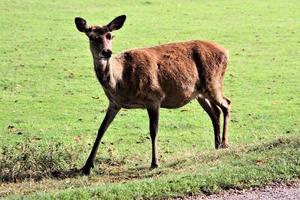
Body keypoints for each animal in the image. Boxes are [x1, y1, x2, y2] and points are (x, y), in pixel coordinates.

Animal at [74, 15, 231, 175]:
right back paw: (217, 144)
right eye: (91, 37)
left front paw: (155, 163)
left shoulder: (154, 97)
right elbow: (101, 129)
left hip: (213, 83)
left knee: (226, 104)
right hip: (200, 94)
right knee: (215, 113)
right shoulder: (114, 103)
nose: (107, 52)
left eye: (110, 35)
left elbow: (153, 130)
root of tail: (226, 52)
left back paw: (224, 143)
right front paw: (86, 167)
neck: (120, 82)